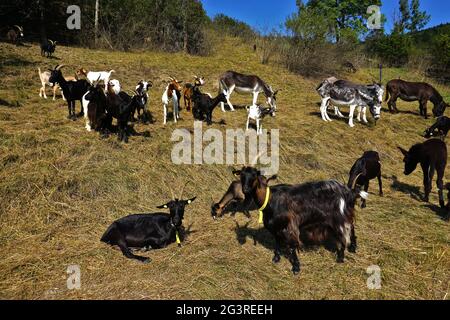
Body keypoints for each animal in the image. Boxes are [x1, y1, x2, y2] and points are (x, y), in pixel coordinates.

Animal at [234, 168, 368, 276]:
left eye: (254, 176)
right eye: (241, 176)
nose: (245, 189)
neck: (271, 199)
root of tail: (348, 191)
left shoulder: (290, 226)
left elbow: (293, 246)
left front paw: (296, 268)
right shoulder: (276, 227)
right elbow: (277, 242)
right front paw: (276, 258)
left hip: (339, 218)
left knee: (344, 234)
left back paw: (340, 257)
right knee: (351, 227)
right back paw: (352, 247)